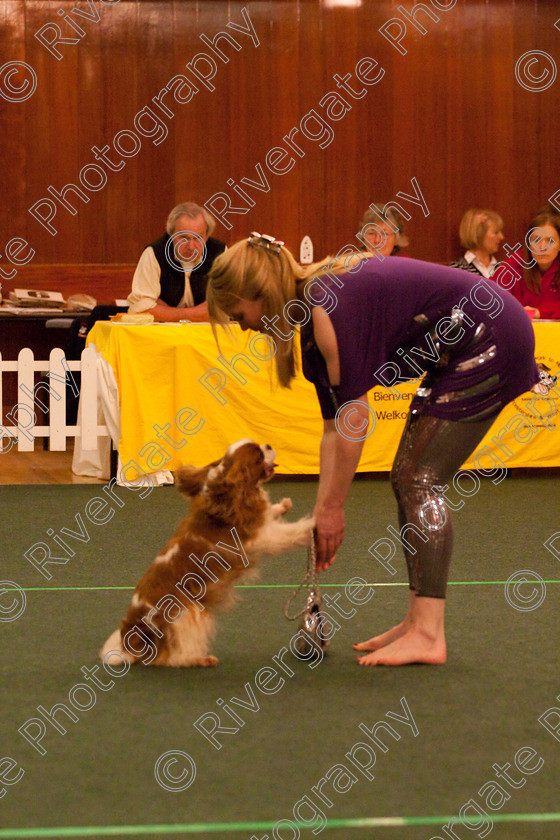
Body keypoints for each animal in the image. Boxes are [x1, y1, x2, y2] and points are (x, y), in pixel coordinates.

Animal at [100, 440, 316, 668]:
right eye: (258, 455)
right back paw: (200, 659)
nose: (268, 445)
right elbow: (292, 532)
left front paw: (281, 506)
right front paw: (314, 525)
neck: (228, 499)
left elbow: (268, 513)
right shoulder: (264, 537)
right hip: (186, 614)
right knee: (172, 656)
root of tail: (130, 634)